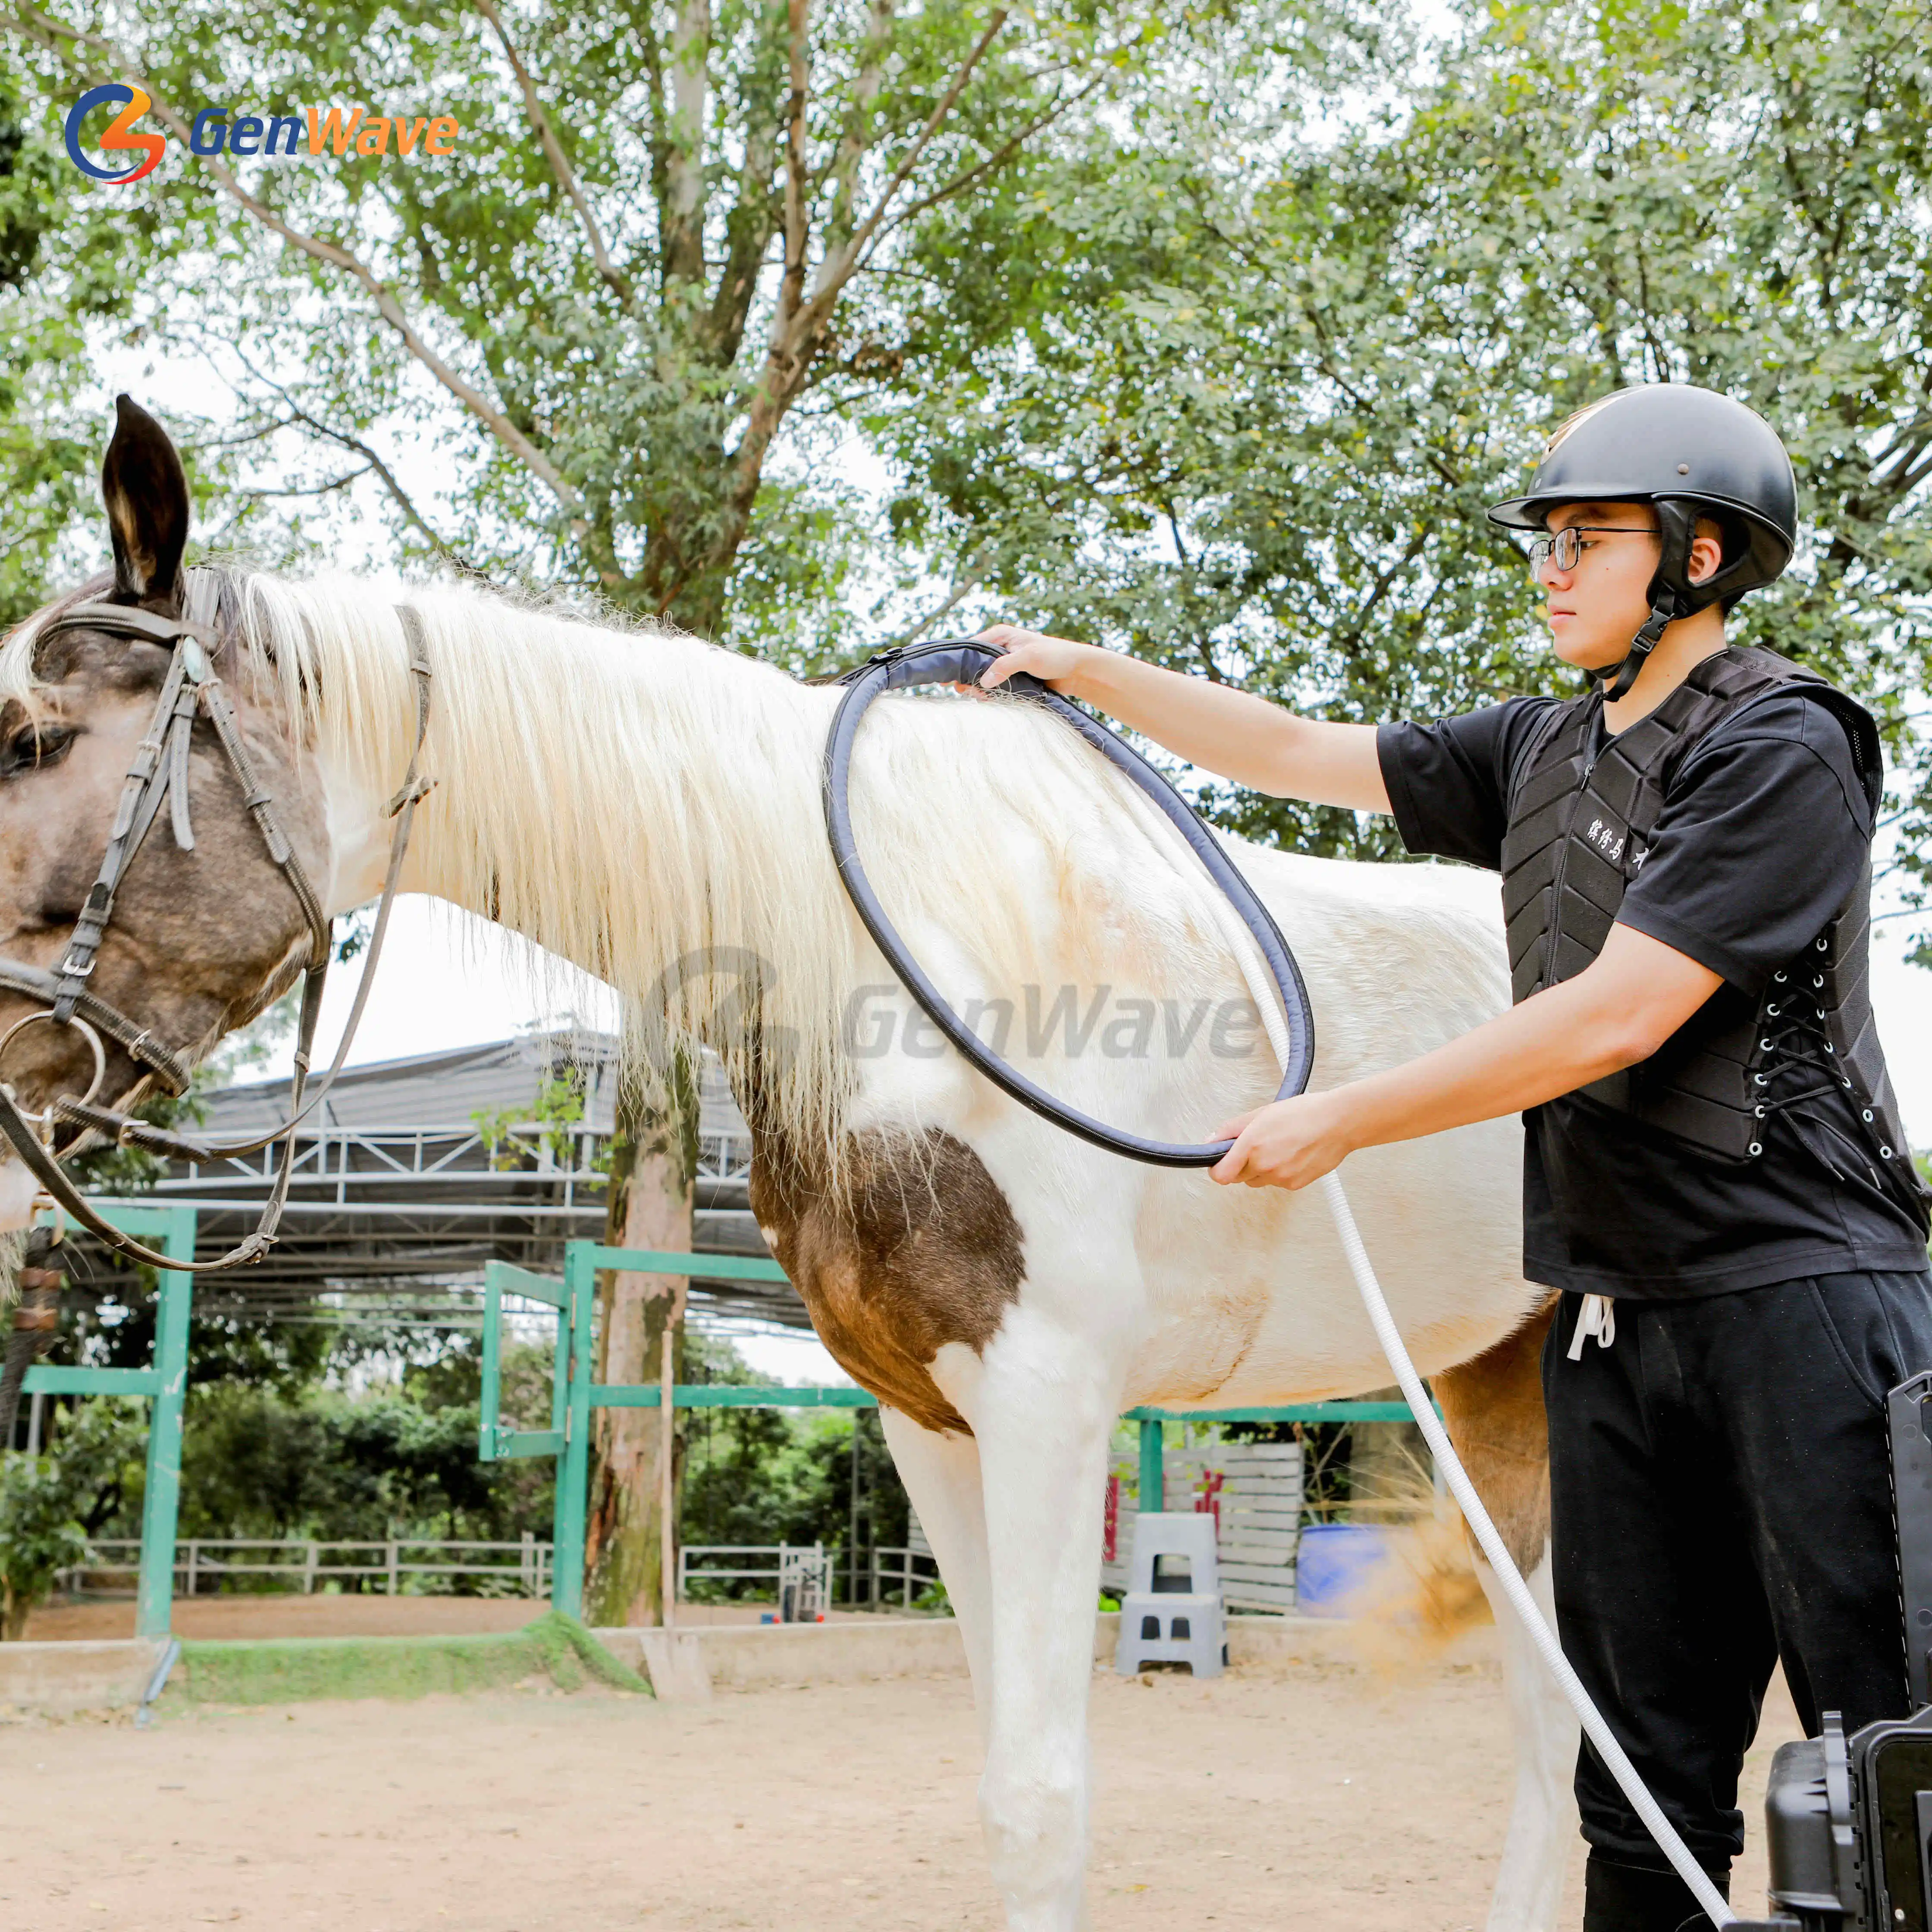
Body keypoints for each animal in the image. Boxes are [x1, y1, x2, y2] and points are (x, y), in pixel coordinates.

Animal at [0, 400, 1576, 1924]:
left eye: (29, 738)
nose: (9, 1125)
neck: (913, 956)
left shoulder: (1051, 1402)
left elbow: (1044, 1801)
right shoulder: (933, 1420)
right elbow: (1001, 1779)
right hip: (1492, 1395)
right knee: (1550, 1716)